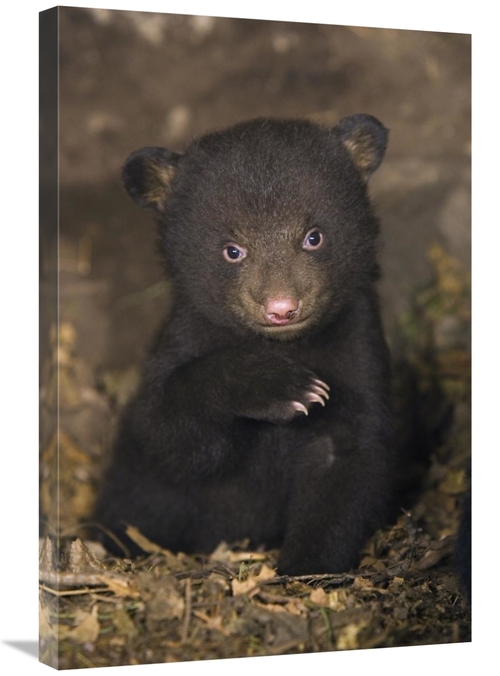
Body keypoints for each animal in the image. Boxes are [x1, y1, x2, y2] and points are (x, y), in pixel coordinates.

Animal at [94, 114, 395, 575]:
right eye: (232, 250)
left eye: (314, 237)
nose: (281, 308)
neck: (287, 344)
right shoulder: (186, 338)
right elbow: (175, 437)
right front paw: (283, 388)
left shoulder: (356, 345)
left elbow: (346, 459)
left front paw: (306, 567)